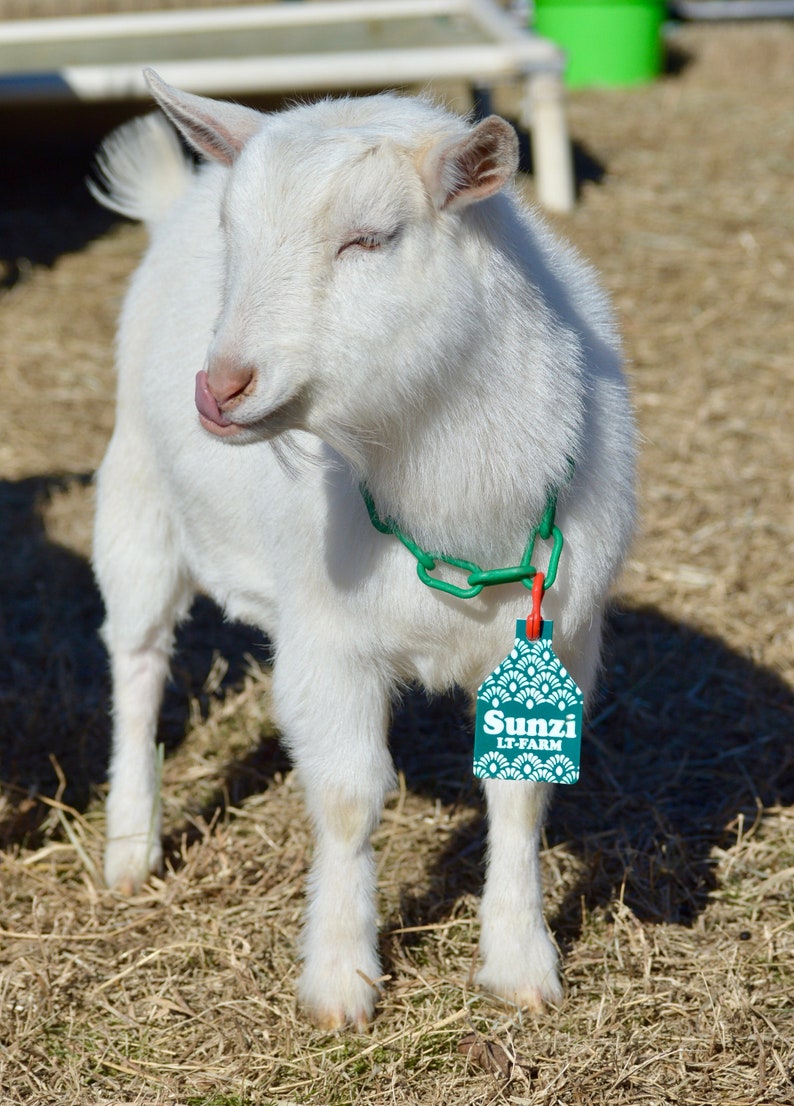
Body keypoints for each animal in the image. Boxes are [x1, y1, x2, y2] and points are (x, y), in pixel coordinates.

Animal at [91, 70, 635, 1029]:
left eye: (370, 238)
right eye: (235, 233)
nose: (221, 387)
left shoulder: (561, 637)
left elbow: (521, 796)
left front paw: (521, 964)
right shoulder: (327, 640)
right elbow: (348, 798)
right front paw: (340, 979)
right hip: (137, 502)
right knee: (139, 662)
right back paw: (131, 845)